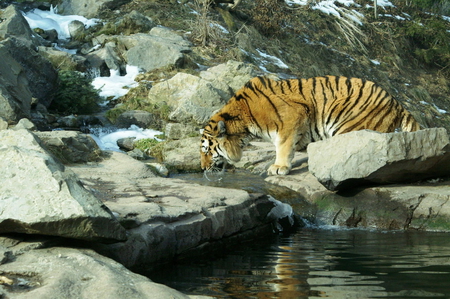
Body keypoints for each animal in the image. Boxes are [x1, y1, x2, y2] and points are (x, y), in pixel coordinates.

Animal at [199, 76, 420, 177]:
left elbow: (283, 146)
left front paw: (278, 167)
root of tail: (396, 101)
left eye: (207, 151)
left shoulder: (292, 117)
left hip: (350, 125)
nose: (202, 168)